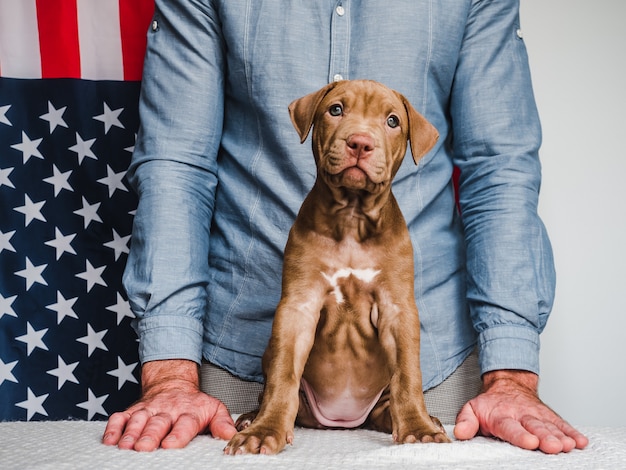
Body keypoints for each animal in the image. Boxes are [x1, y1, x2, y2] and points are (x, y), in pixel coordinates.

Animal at [222, 81, 446, 456]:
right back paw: (252, 418)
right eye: (336, 110)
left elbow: (407, 375)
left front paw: (419, 428)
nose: (360, 142)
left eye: (393, 121)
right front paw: (264, 431)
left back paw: (424, 420)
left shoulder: (398, 309)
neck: (352, 218)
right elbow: (283, 374)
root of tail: (342, 421)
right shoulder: (298, 308)